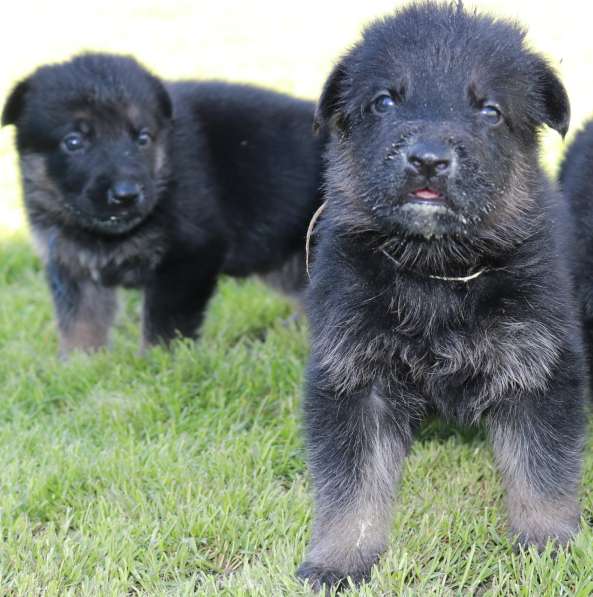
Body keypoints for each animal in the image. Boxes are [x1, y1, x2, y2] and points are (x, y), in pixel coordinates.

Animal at [1, 52, 324, 354]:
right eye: (74, 142)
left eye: (143, 138)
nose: (126, 194)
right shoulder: (71, 265)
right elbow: (80, 323)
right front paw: (80, 364)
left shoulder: (189, 255)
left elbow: (164, 324)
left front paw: (157, 363)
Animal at [298, 1, 584, 592]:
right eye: (385, 101)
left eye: (490, 111)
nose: (428, 160)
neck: (438, 273)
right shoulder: (354, 381)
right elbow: (351, 488)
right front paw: (341, 559)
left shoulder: (539, 370)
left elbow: (543, 472)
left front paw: (547, 544)